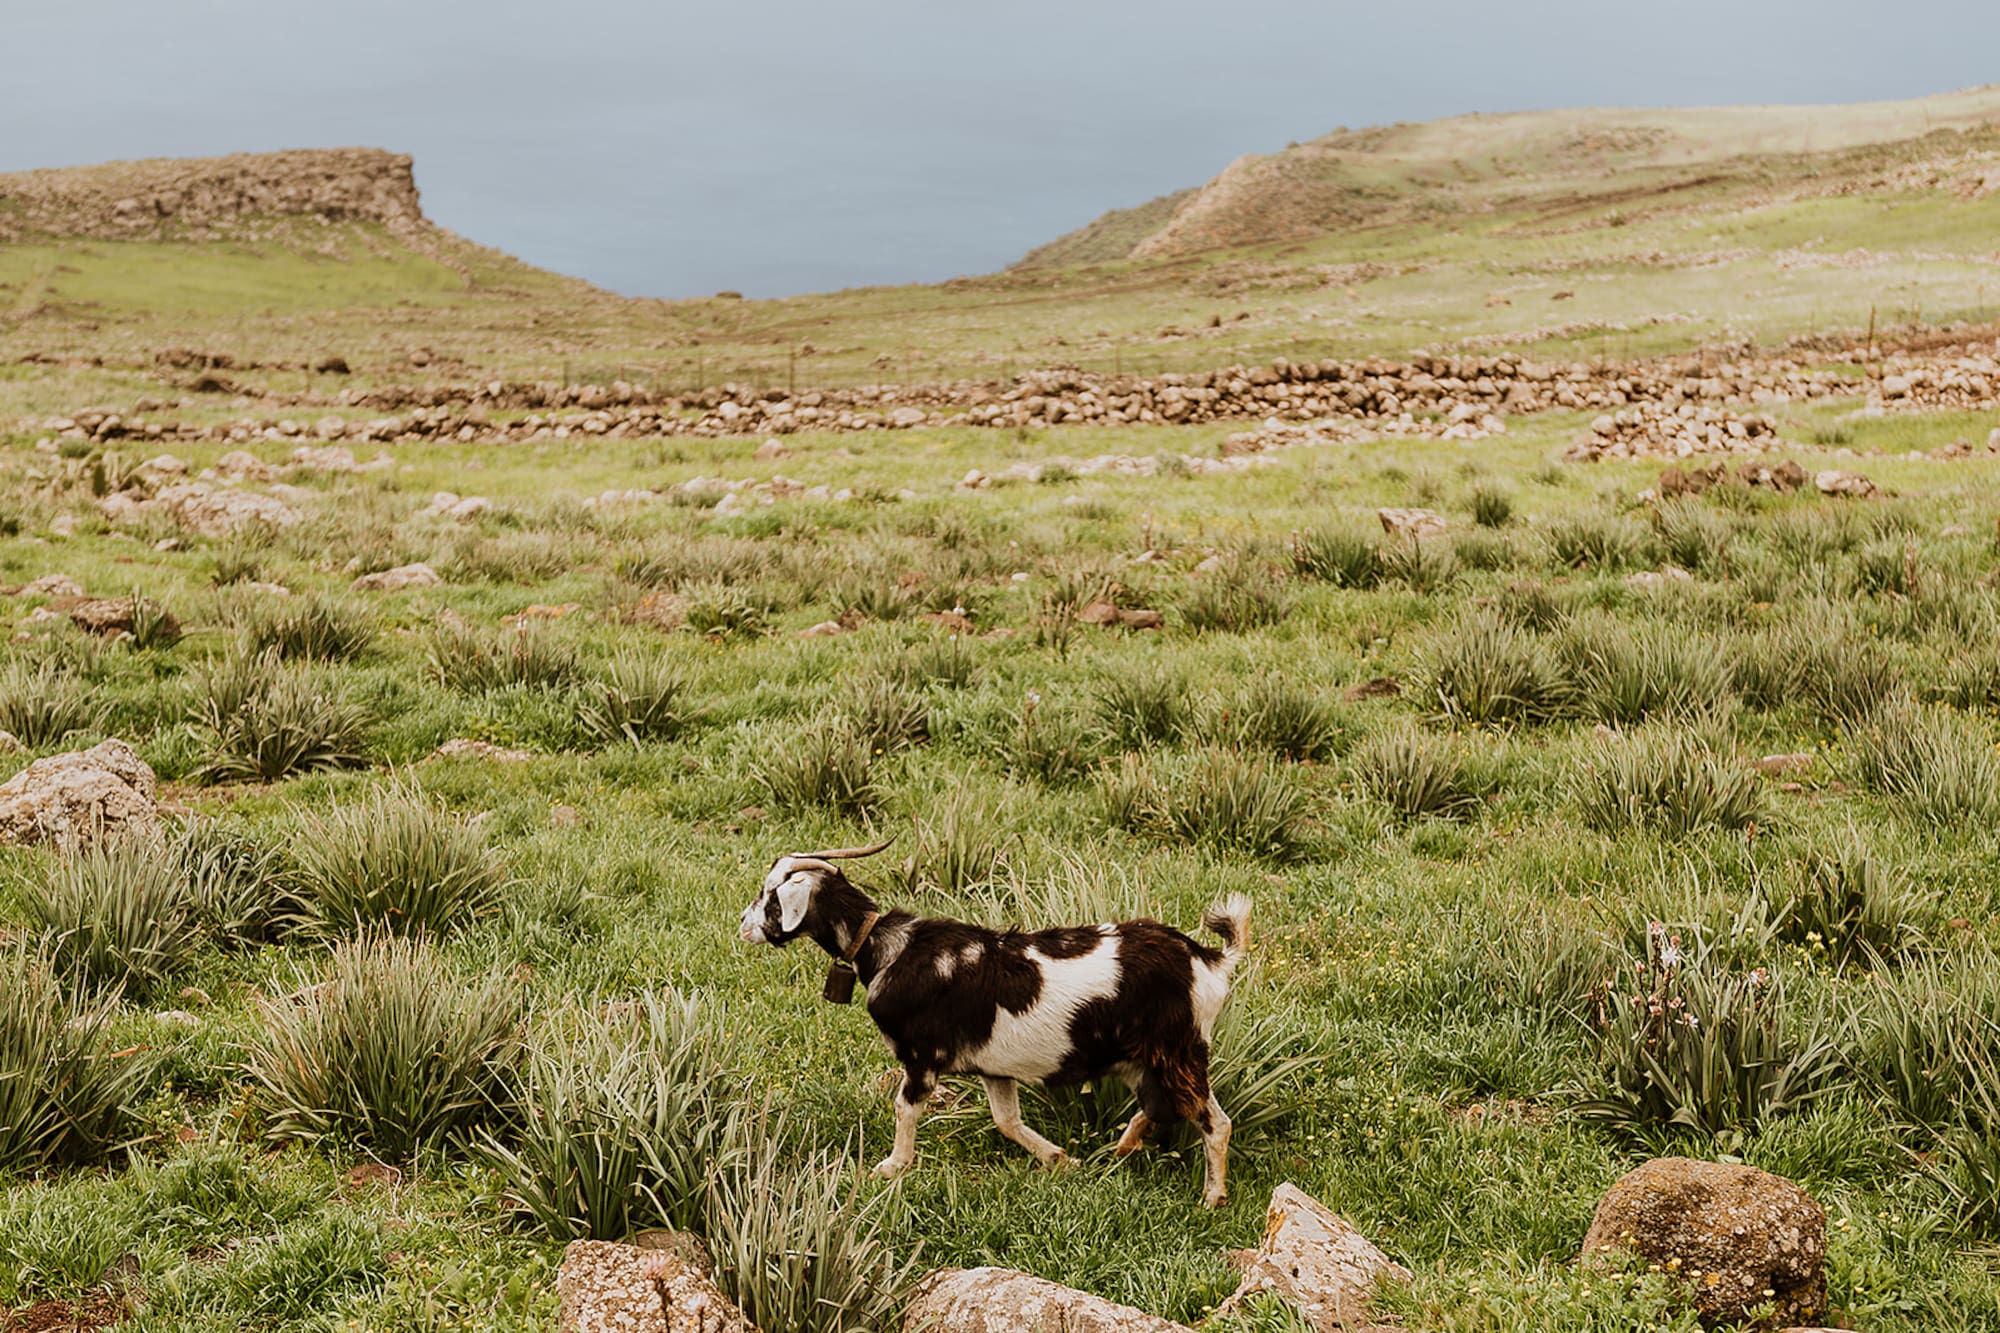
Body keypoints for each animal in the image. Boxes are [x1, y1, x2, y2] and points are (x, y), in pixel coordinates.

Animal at [737, 839, 1250, 1206]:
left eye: (770, 897)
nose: (742, 924)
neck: (886, 949)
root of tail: (1210, 960)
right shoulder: (995, 1068)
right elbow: (1007, 1121)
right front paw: (1061, 1160)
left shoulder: (921, 1057)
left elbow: (905, 1109)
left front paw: (891, 1167)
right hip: (1142, 1058)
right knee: (1160, 1106)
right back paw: (1120, 1149)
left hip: (1179, 1050)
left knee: (1214, 1120)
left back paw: (1213, 1197)